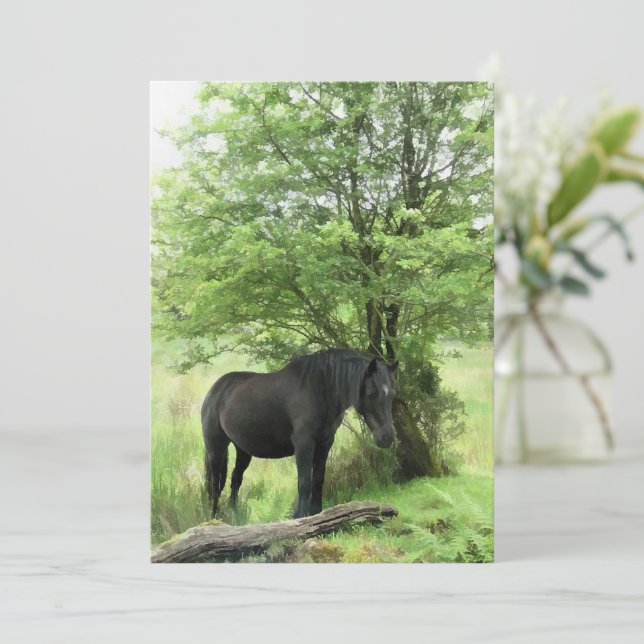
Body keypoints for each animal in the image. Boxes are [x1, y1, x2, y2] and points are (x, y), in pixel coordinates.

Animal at [201, 348, 398, 519]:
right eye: (372, 393)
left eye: (392, 395)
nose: (387, 437)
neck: (318, 390)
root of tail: (215, 389)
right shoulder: (304, 444)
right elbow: (304, 483)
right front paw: (300, 517)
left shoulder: (325, 443)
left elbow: (318, 480)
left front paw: (317, 514)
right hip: (215, 448)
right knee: (215, 486)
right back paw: (214, 518)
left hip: (243, 450)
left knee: (235, 480)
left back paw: (235, 517)